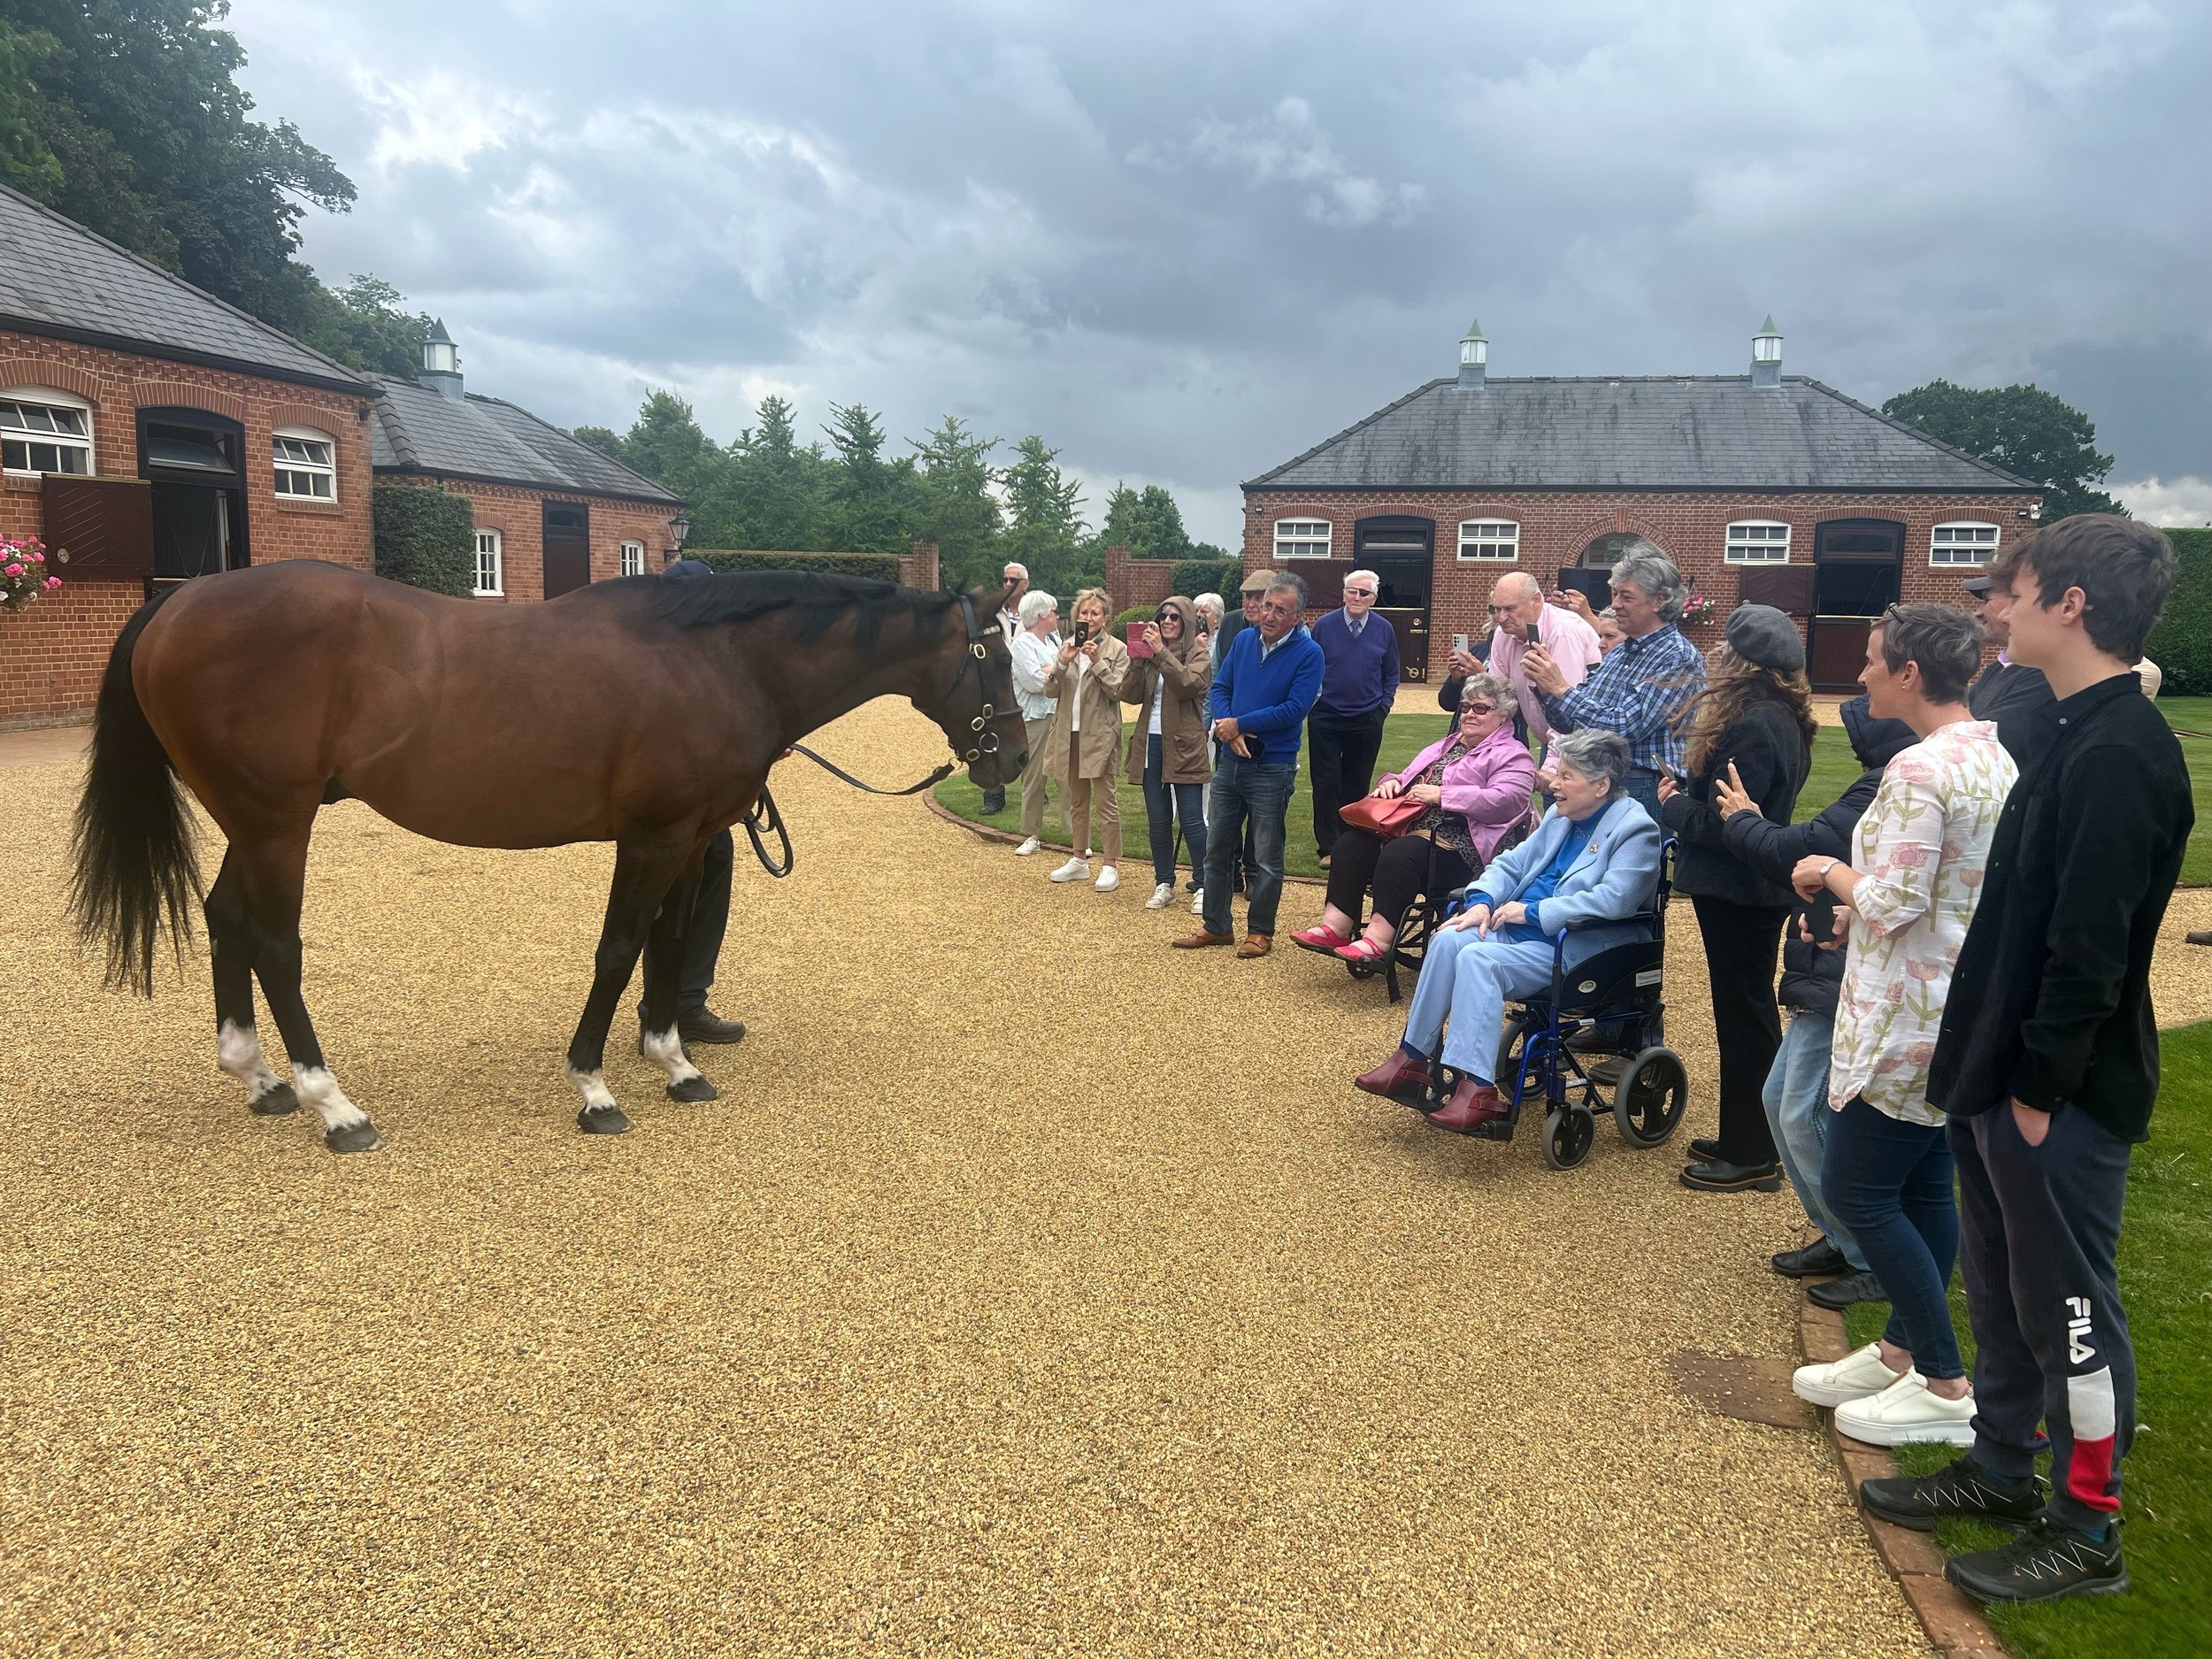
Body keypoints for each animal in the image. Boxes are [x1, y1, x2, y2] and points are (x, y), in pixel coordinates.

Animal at [71, 566, 1026, 1150]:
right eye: (1002, 655)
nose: (1013, 758)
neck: (719, 658)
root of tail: (178, 603)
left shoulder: (691, 838)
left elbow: (666, 944)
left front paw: (676, 1062)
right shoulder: (651, 835)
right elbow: (617, 951)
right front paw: (595, 1087)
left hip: (250, 823)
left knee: (224, 918)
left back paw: (259, 1077)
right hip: (277, 823)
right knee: (273, 944)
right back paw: (333, 1106)